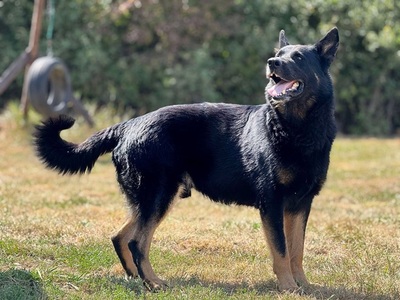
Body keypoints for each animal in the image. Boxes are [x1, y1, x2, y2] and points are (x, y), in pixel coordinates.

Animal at [34, 27, 340, 290]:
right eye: (280, 54)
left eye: (298, 57)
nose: (272, 62)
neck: (295, 129)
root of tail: (129, 125)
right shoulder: (272, 204)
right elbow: (281, 250)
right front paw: (288, 287)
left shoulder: (300, 205)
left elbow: (297, 250)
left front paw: (304, 286)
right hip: (158, 195)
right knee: (136, 243)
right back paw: (153, 283)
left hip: (151, 200)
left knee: (121, 237)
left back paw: (137, 280)